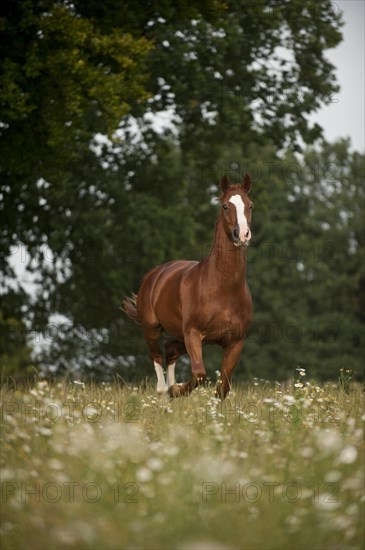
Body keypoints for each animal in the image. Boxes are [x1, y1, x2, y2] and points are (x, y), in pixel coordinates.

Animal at [123, 175, 253, 398]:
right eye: (225, 206)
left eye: (250, 205)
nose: (242, 235)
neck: (222, 289)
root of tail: (155, 274)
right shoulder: (193, 333)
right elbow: (199, 374)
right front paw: (176, 389)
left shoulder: (235, 342)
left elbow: (223, 387)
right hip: (152, 329)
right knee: (157, 356)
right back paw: (165, 391)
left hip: (179, 336)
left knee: (171, 349)